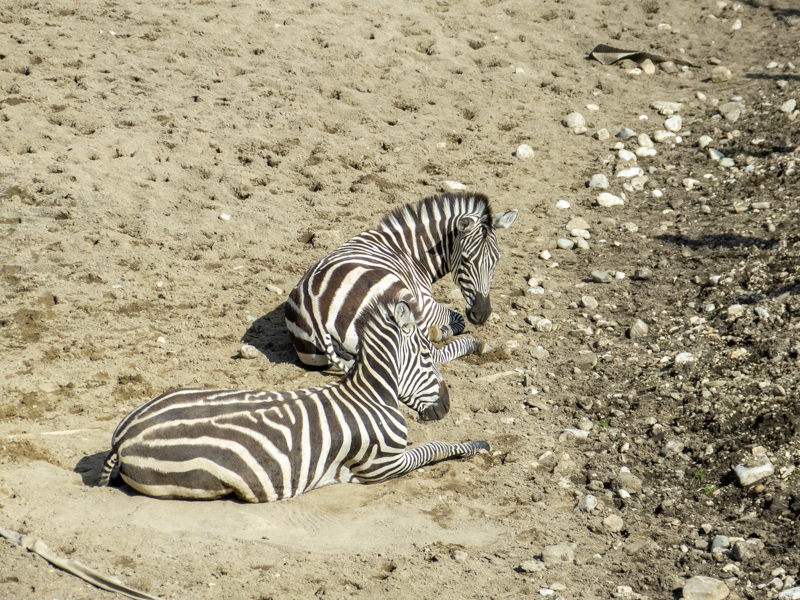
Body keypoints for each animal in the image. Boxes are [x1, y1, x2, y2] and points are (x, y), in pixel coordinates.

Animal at [95, 291, 489, 502]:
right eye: (425, 356)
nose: (447, 406)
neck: (371, 395)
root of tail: (123, 439)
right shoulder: (381, 465)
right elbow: (433, 448)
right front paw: (475, 445)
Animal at [285, 192, 517, 373]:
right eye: (467, 259)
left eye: (496, 260)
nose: (482, 314)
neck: (410, 251)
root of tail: (315, 314)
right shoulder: (425, 304)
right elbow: (458, 318)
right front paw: (440, 331)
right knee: (432, 354)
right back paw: (474, 344)